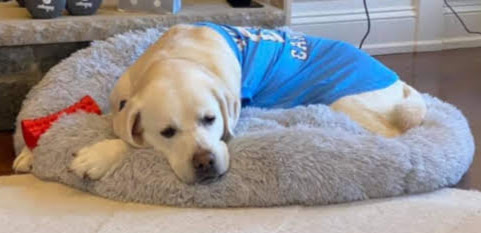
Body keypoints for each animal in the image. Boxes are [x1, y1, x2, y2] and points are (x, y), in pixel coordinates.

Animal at [15, 23, 426, 184]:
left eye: (210, 119)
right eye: (168, 132)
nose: (204, 162)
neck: (175, 56)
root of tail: (400, 81)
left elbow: (129, 143)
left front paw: (98, 156)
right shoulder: (119, 102)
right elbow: (107, 120)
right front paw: (31, 153)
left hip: (348, 102)